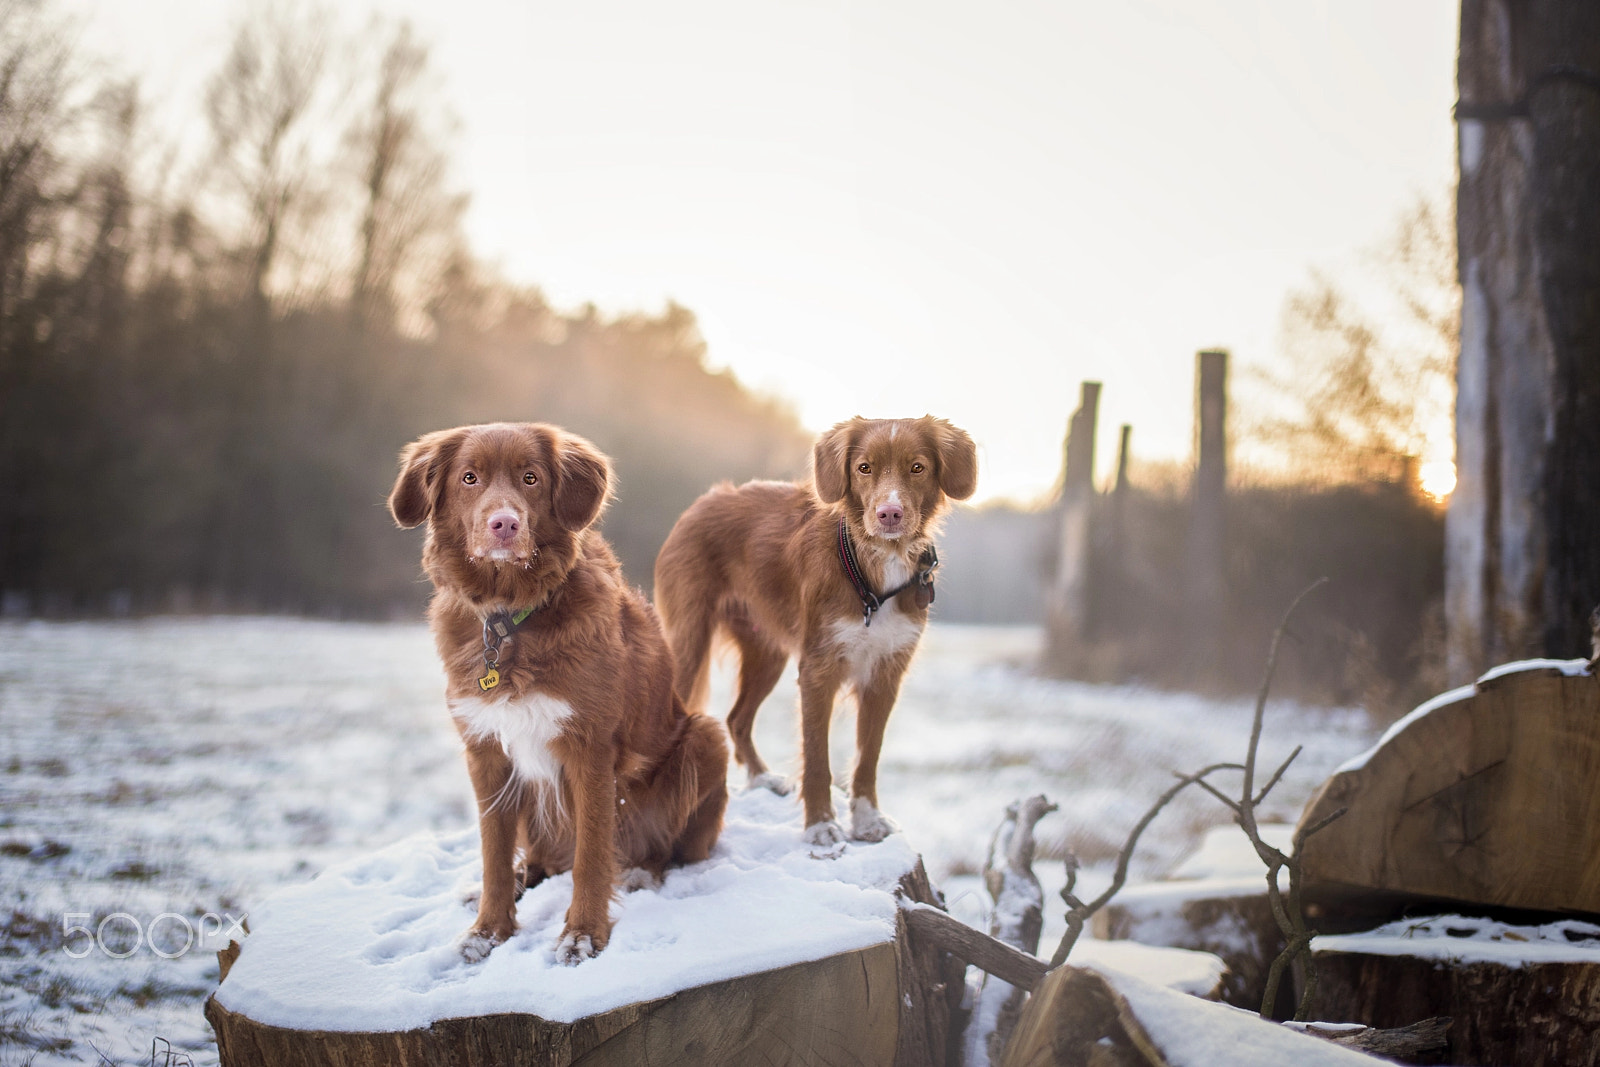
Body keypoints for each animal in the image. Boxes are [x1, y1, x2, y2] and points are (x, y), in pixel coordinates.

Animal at [390, 422, 729, 966]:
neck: (509, 617)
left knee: (660, 851)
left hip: (705, 737)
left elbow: (592, 855)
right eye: (469, 478)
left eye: (530, 478)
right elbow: (492, 853)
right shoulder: (486, 751)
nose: (504, 525)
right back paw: (524, 876)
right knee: (537, 859)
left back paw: (641, 871)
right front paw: (489, 929)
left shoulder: (589, 750)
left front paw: (582, 934)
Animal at [652, 415, 972, 851]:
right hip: (690, 642)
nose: (889, 514)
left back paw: (762, 778)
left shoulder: (885, 674)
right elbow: (817, 758)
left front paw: (867, 820)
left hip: (768, 653)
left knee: (737, 719)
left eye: (917, 468)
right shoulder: (818, 671)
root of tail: (704, 500)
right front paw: (820, 827)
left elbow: (868, 758)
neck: (870, 567)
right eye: (864, 468)